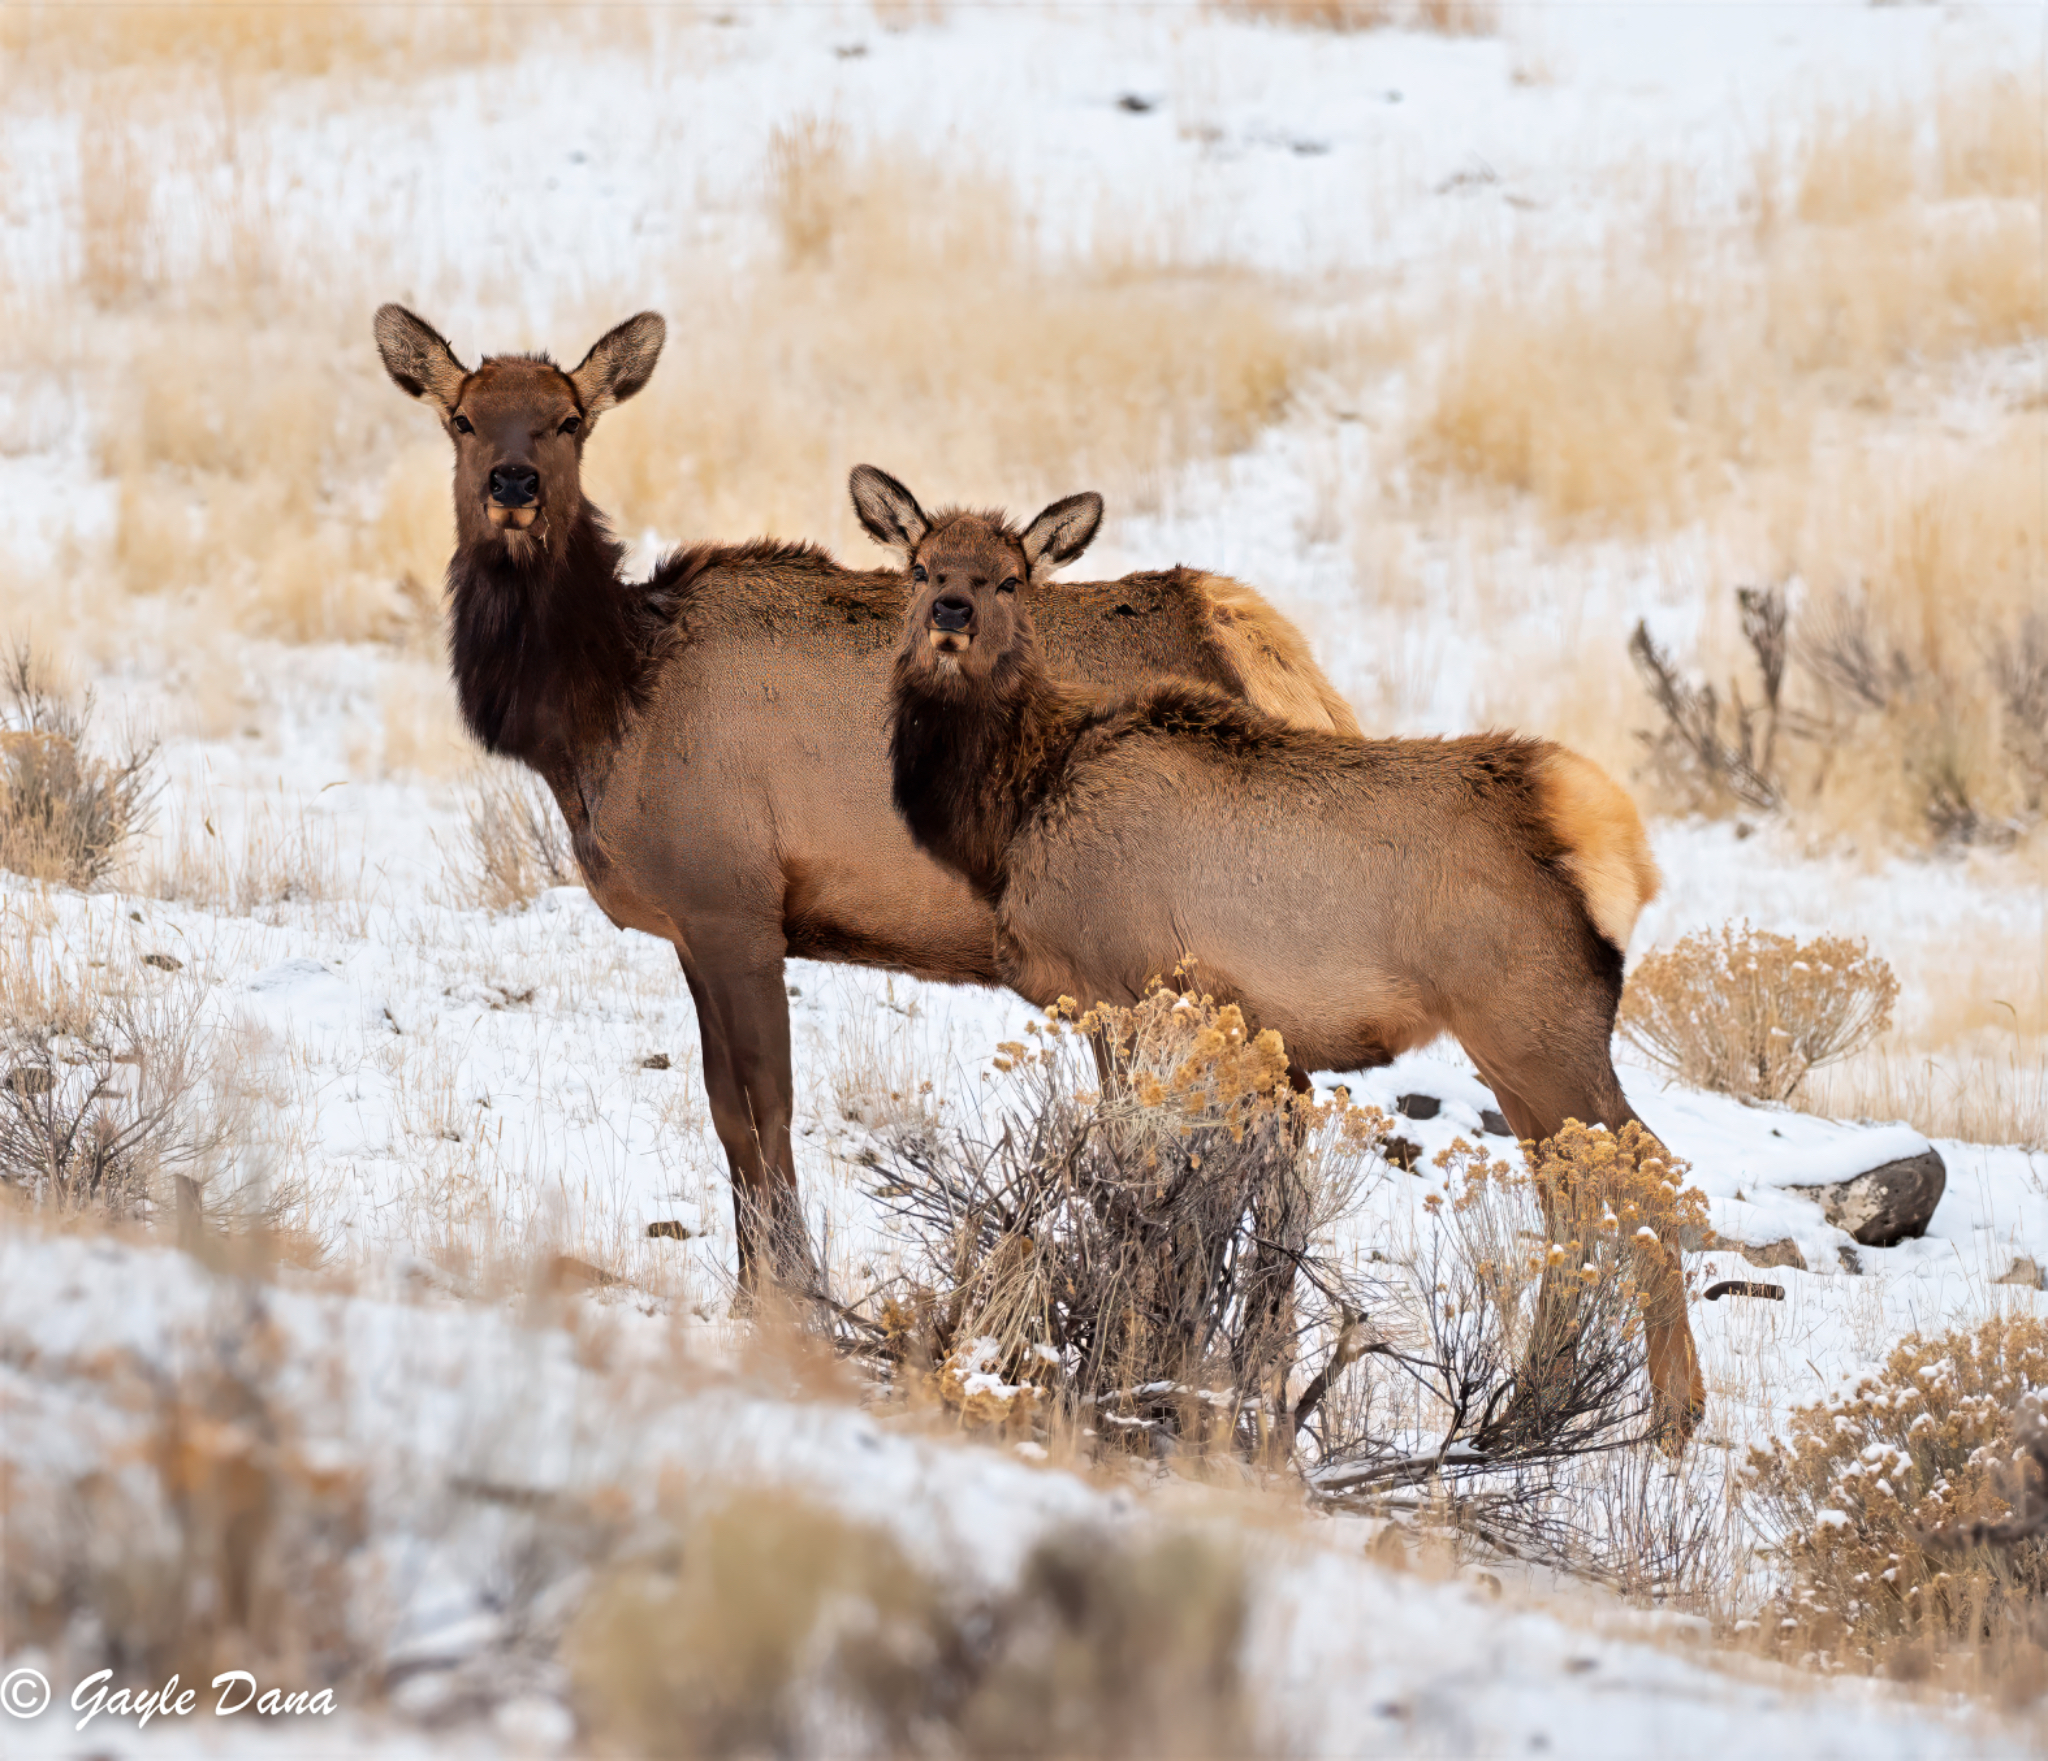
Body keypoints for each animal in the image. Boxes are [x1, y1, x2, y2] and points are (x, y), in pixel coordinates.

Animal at [372, 305, 1360, 1291]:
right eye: (462, 418)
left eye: (571, 419)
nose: (513, 482)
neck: (603, 709)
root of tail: (1281, 666)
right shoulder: (692, 923)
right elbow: (725, 1112)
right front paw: (750, 1289)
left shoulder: (732, 901)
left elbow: (766, 1110)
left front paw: (791, 1294)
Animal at [885, 512, 1707, 1443]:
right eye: (919, 566)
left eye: (1011, 578)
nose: (950, 614)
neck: (1016, 806)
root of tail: (1617, 848)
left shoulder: (1122, 988)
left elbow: (1139, 1179)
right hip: (1515, 1051)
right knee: (1570, 1193)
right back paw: (1533, 1399)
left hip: (1537, 1029)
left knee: (1646, 1171)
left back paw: (1669, 1411)